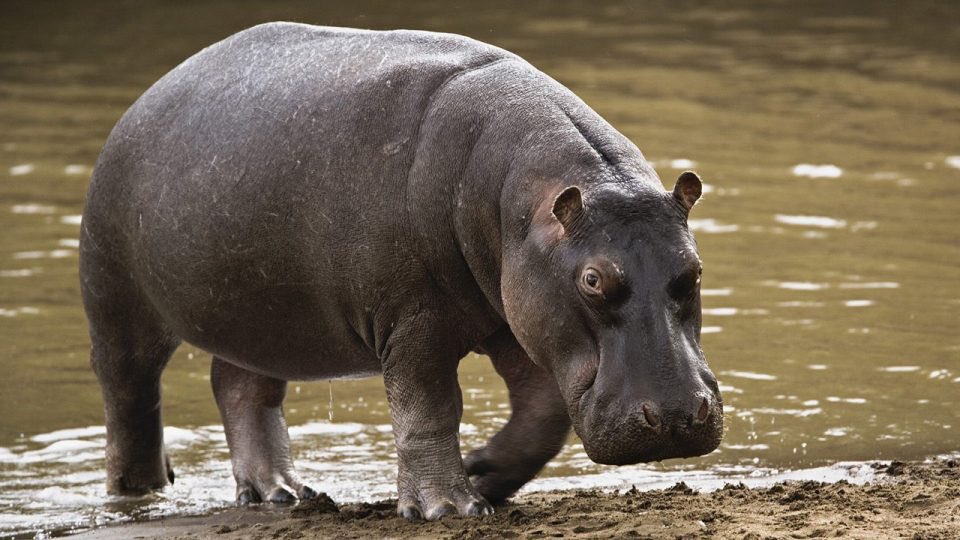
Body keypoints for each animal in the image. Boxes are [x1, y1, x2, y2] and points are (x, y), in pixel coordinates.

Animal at [79, 22, 723, 520]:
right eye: (593, 280)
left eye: (693, 269)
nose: (674, 417)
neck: (521, 203)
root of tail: (147, 96)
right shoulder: (414, 322)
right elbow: (429, 411)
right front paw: (449, 508)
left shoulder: (517, 319)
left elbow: (543, 415)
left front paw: (481, 473)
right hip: (116, 300)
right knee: (129, 401)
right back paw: (138, 494)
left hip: (259, 316)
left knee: (240, 388)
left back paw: (281, 494)